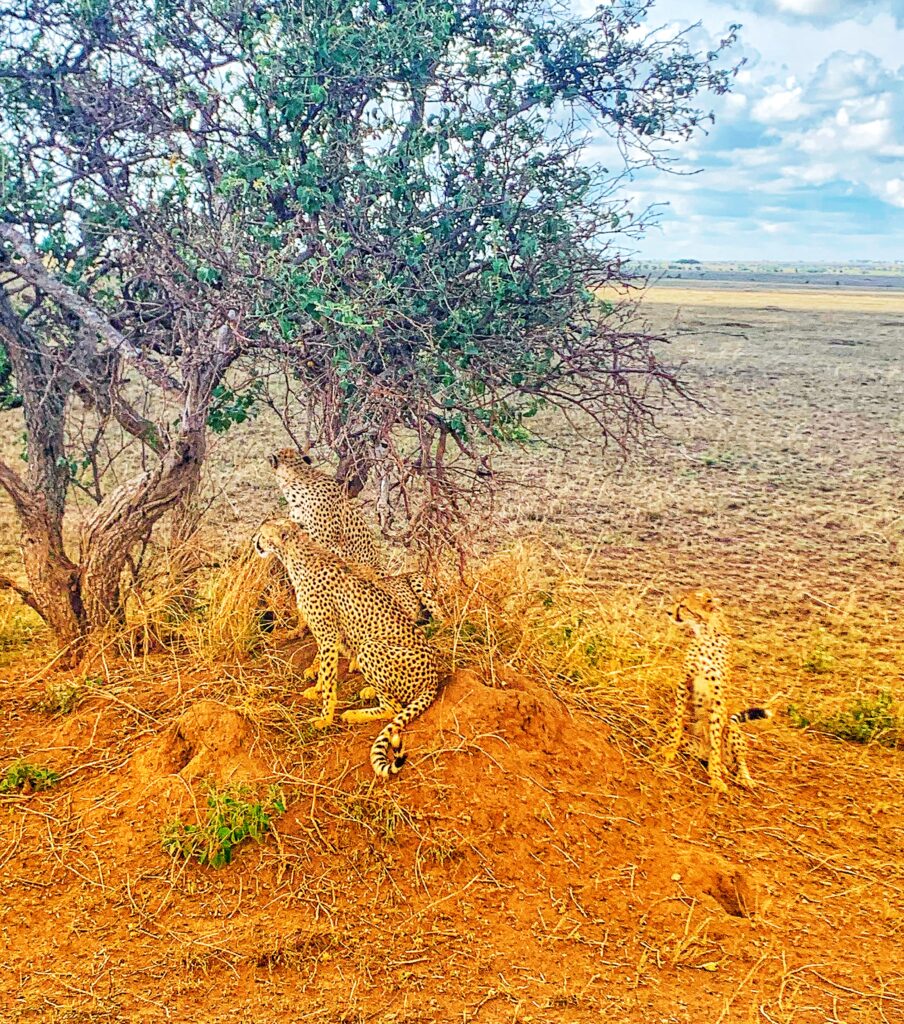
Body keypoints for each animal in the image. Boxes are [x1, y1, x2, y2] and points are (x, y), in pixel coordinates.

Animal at [252, 520, 440, 774]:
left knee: (393, 708)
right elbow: (324, 670)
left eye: (263, 534)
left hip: (369, 648)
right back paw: (369, 691)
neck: (295, 555)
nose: (255, 542)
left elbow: (329, 675)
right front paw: (317, 689)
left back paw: (354, 714)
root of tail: (434, 678)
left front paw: (325, 718)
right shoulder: (326, 635)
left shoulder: (328, 634)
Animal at [663, 585, 769, 790]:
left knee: (737, 759)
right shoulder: (684, 683)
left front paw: (716, 778)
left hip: (732, 728)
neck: (705, 633)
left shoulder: (718, 698)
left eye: (683, 605)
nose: (669, 612)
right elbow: (677, 720)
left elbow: (715, 740)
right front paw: (670, 748)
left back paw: (740, 776)